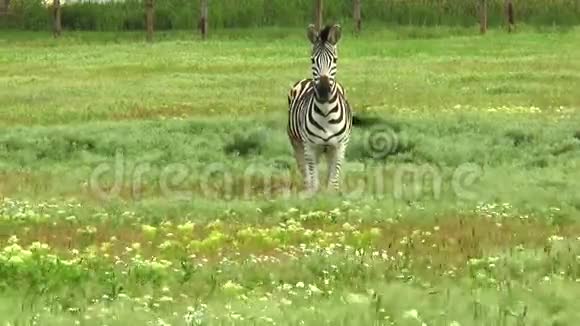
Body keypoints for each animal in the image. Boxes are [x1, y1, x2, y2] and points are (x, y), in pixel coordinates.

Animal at [286, 23, 354, 196]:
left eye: (335, 60)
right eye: (312, 60)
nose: (323, 92)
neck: (325, 113)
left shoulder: (340, 146)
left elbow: (333, 181)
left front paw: (330, 196)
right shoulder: (310, 146)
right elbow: (313, 180)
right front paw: (313, 196)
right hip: (297, 142)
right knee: (305, 170)